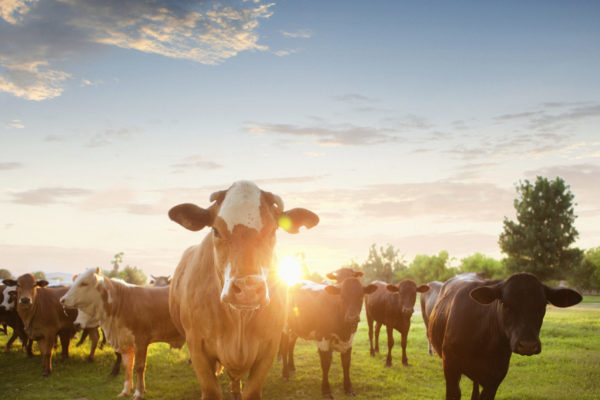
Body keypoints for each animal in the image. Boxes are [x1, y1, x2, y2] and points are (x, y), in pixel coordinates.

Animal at [60, 268, 185, 400]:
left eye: (84, 283)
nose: (62, 299)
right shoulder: (125, 341)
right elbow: (127, 366)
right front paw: (125, 390)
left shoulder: (141, 340)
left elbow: (139, 366)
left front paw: (139, 392)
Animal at [169, 180, 318, 400]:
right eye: (216, 231)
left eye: (273, 231)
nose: (248, 289)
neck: (239, 320)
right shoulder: (197, 347)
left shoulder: (270, 347)